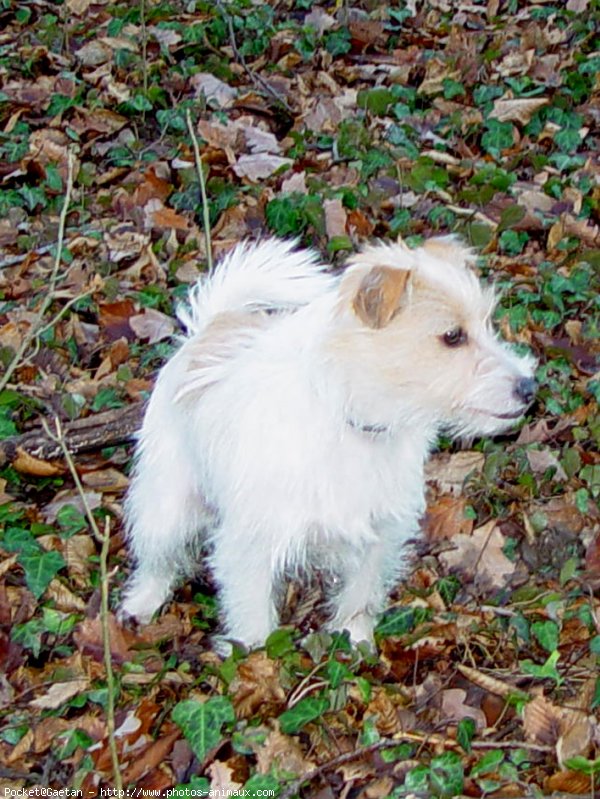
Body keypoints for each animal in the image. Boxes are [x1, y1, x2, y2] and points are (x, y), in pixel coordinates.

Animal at [119, 234, 536, 648]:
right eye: (453, 336)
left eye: (487, 324)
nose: (530, 387)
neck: (353, 424)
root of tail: (213, 323)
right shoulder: (250, 547)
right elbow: (254, 624)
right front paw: (254, 660)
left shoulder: (379, 535)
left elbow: (360, 597)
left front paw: (355, 643)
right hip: (167, 504)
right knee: (157, 558)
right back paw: (141, 605)